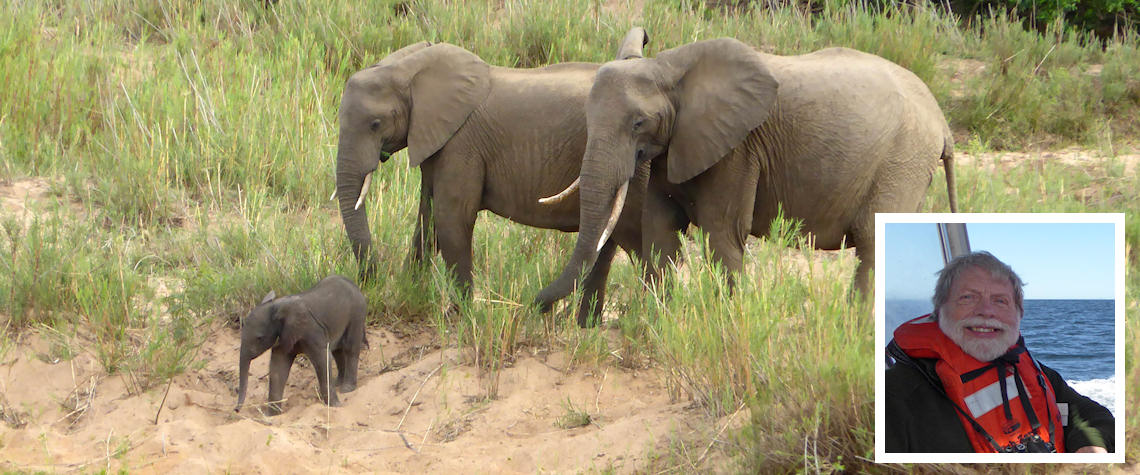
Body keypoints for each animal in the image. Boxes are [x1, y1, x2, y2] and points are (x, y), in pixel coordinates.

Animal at [233, 273, 367, 414]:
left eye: (259, 338)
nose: (236, 410)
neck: (277, 306)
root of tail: (355, 286)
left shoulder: (311, 330)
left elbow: (323, 360)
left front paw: (335, 406)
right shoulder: (282, 337)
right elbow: (278, 368)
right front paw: (272, 415)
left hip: (357, 313)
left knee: (350, 348)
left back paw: (347, 389)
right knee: (337, 351)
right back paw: (338, 384)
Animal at [332, 28, 647, 318]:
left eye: (375, 124)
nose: (371, 279)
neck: (407, 69)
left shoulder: (462, 144)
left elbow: (451, 217)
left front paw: (458, 317)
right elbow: (428, 215)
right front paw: (410, 291)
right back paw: (586, 326)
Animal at [533, 37, 953, 325]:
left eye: (638, 123)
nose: (536, 304)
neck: (670, 68)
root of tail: (944, 123)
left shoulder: (738, 148)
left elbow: (722, 233)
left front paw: (725, 326)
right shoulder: (677, 145)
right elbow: (660, 231)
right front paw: (662, 325)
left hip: (903, 159)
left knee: (871, 242)